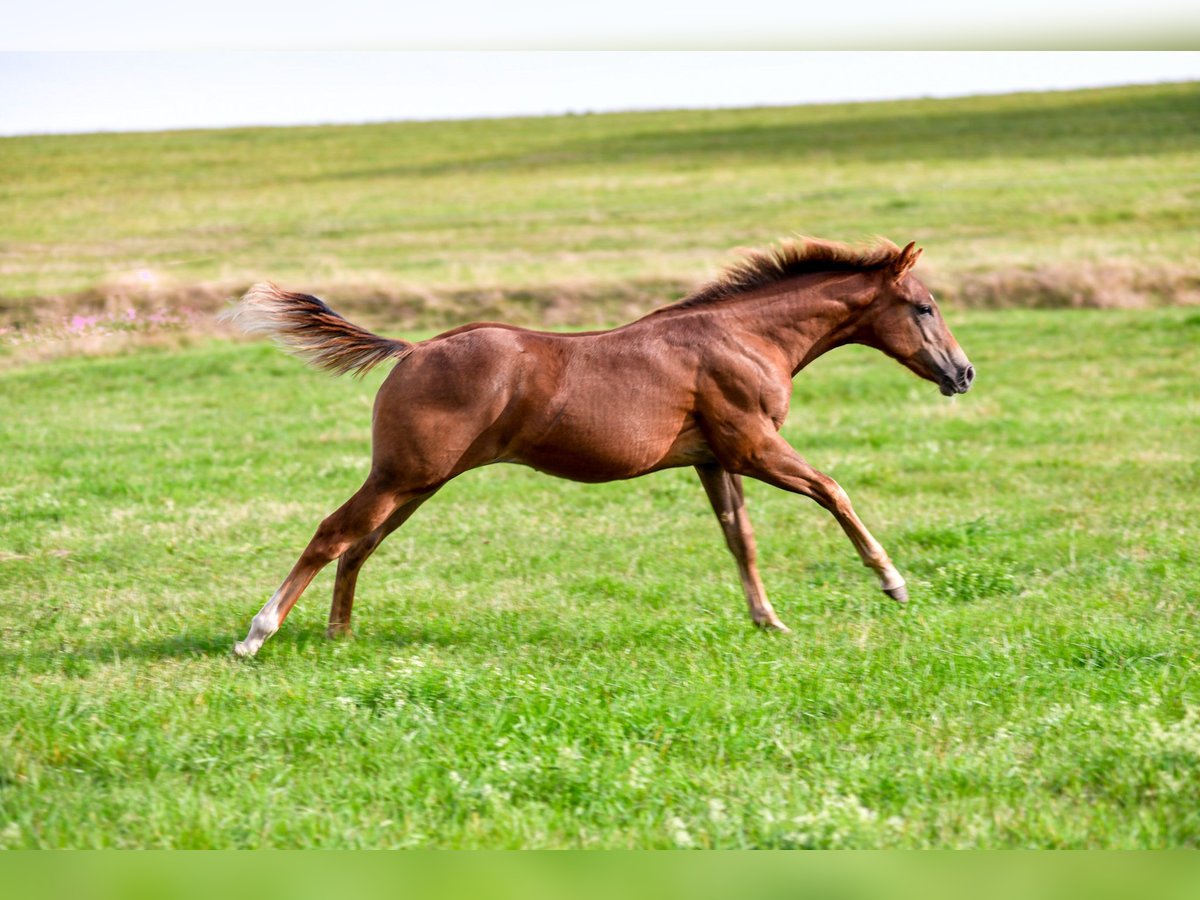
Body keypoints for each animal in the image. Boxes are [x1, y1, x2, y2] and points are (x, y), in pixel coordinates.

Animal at [225, 237, 974, 662]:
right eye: (925, 307)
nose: (962, 373)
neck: (745, 337)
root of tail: (412, 351)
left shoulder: (714, 460)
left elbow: (741, 540)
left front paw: (769, 622)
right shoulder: (754, 445)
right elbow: (832, 491)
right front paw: (893, 582)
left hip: (418, 484)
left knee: (361, 545)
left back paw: (339, 636)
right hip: (404, 473)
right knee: (333, 533)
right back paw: (257, 635)